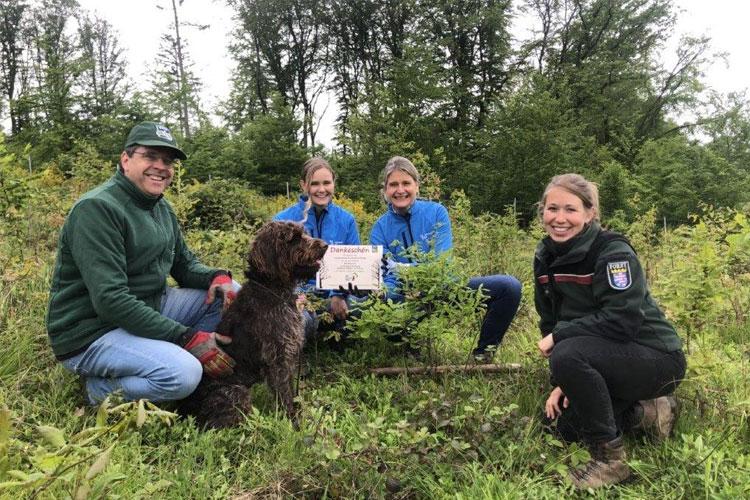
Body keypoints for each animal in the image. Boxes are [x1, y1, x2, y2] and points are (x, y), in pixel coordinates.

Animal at [181, 221, 328, 428]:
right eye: (294, 238)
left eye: (304, 233)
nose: (325, 245)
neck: (272, 289)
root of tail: (183, 410)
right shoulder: (277, 358)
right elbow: (285, 393)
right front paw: (294, 423)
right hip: (236, 393)